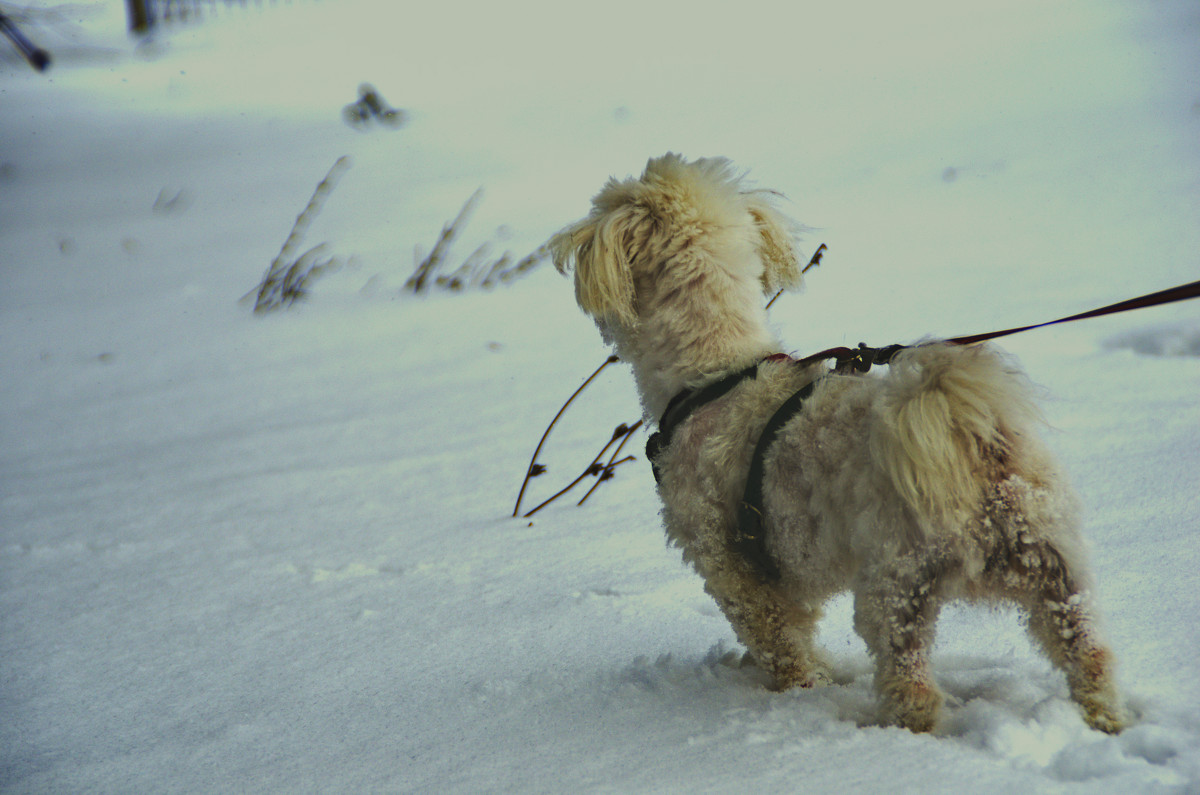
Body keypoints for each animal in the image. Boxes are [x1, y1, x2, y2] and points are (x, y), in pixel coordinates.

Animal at [552, 153, 1123, 734]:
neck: (719, 373)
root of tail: (978, 456)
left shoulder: (729, 561)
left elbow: (778, 640)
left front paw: (797, 688)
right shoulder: (785, 571)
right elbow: (799, 625)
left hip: (896, 585)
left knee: (912, 686)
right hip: (1054, 565)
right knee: (1088, 651)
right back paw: (1104, 718)